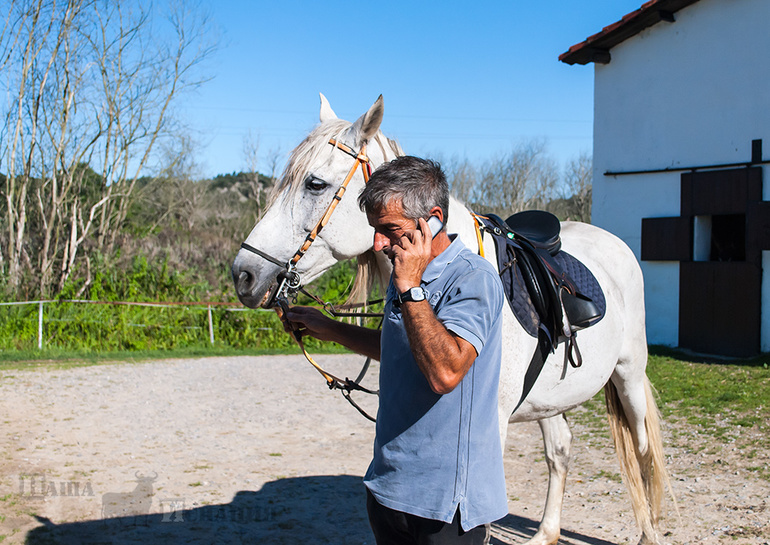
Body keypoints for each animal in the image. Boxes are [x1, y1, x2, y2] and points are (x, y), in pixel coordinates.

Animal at [231, 94, 668, 544]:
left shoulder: (495, 423)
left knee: (643, 452)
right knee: (561, 450)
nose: (243, 274)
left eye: (314, 183)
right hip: (550, 398)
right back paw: (546, 532)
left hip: (629, 376)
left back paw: (648, 531)